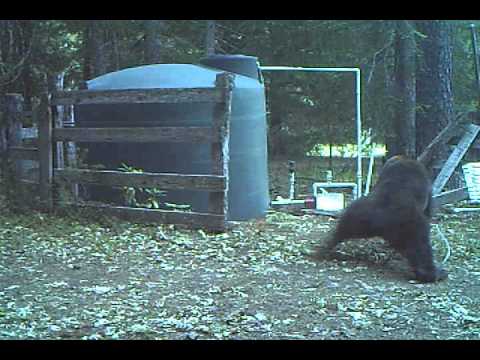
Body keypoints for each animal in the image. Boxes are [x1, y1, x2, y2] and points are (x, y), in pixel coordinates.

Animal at [314, 155, 448, 284]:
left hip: (357, 214)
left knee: (341, 230)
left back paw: (325, 247)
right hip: (411, 224)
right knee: (420, 248)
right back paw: (431, 273)